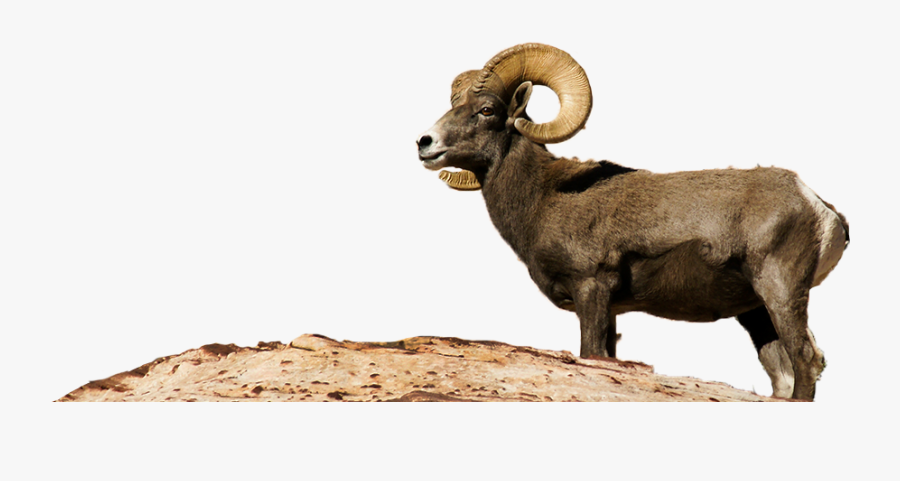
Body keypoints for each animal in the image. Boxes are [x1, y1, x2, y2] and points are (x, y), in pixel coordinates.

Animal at [416, 43, 849, 400]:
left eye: (487, 110)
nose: (424, 143)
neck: (544, 196)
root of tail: (819, 207)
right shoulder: (610, 309)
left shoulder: (591, 288)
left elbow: (590, 354)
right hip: (755, 311)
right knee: (784, 377)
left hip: (779, 291)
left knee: (807, 360)